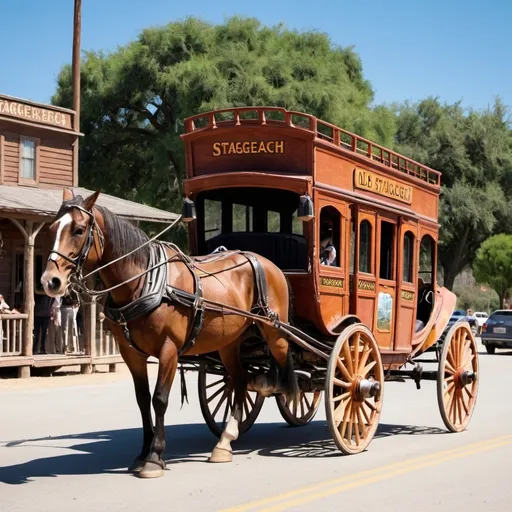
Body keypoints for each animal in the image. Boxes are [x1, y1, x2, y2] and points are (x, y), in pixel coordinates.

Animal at [41, 189, 300, 480]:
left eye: (78, 229)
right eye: (51, 228)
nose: (50, 281)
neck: (143, 281)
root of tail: (269, 264)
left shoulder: (169, 351)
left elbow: (160, 399)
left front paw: (155, 457)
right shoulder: (131, 354)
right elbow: (143, 400)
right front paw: (143, 452)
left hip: (274, 332)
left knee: (283, 366)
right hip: (229, 342)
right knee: (240, 380)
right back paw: (225, 441)